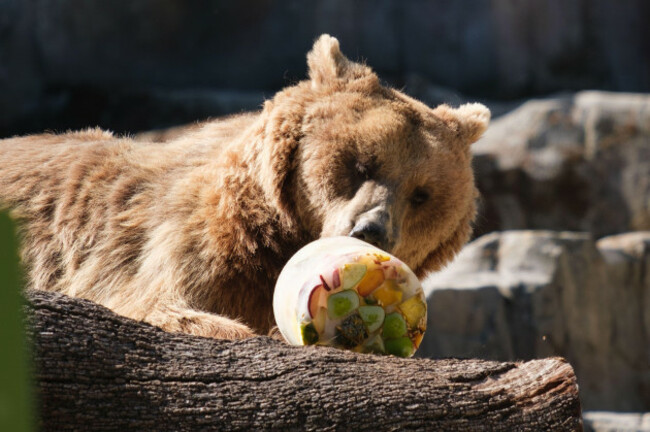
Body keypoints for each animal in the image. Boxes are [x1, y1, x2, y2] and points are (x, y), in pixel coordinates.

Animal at [0, 35, 486, 340]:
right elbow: (156, 307)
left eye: (422, 194)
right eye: (361, 162)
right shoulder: (173, 244)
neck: (276, 236)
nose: (370, 230)